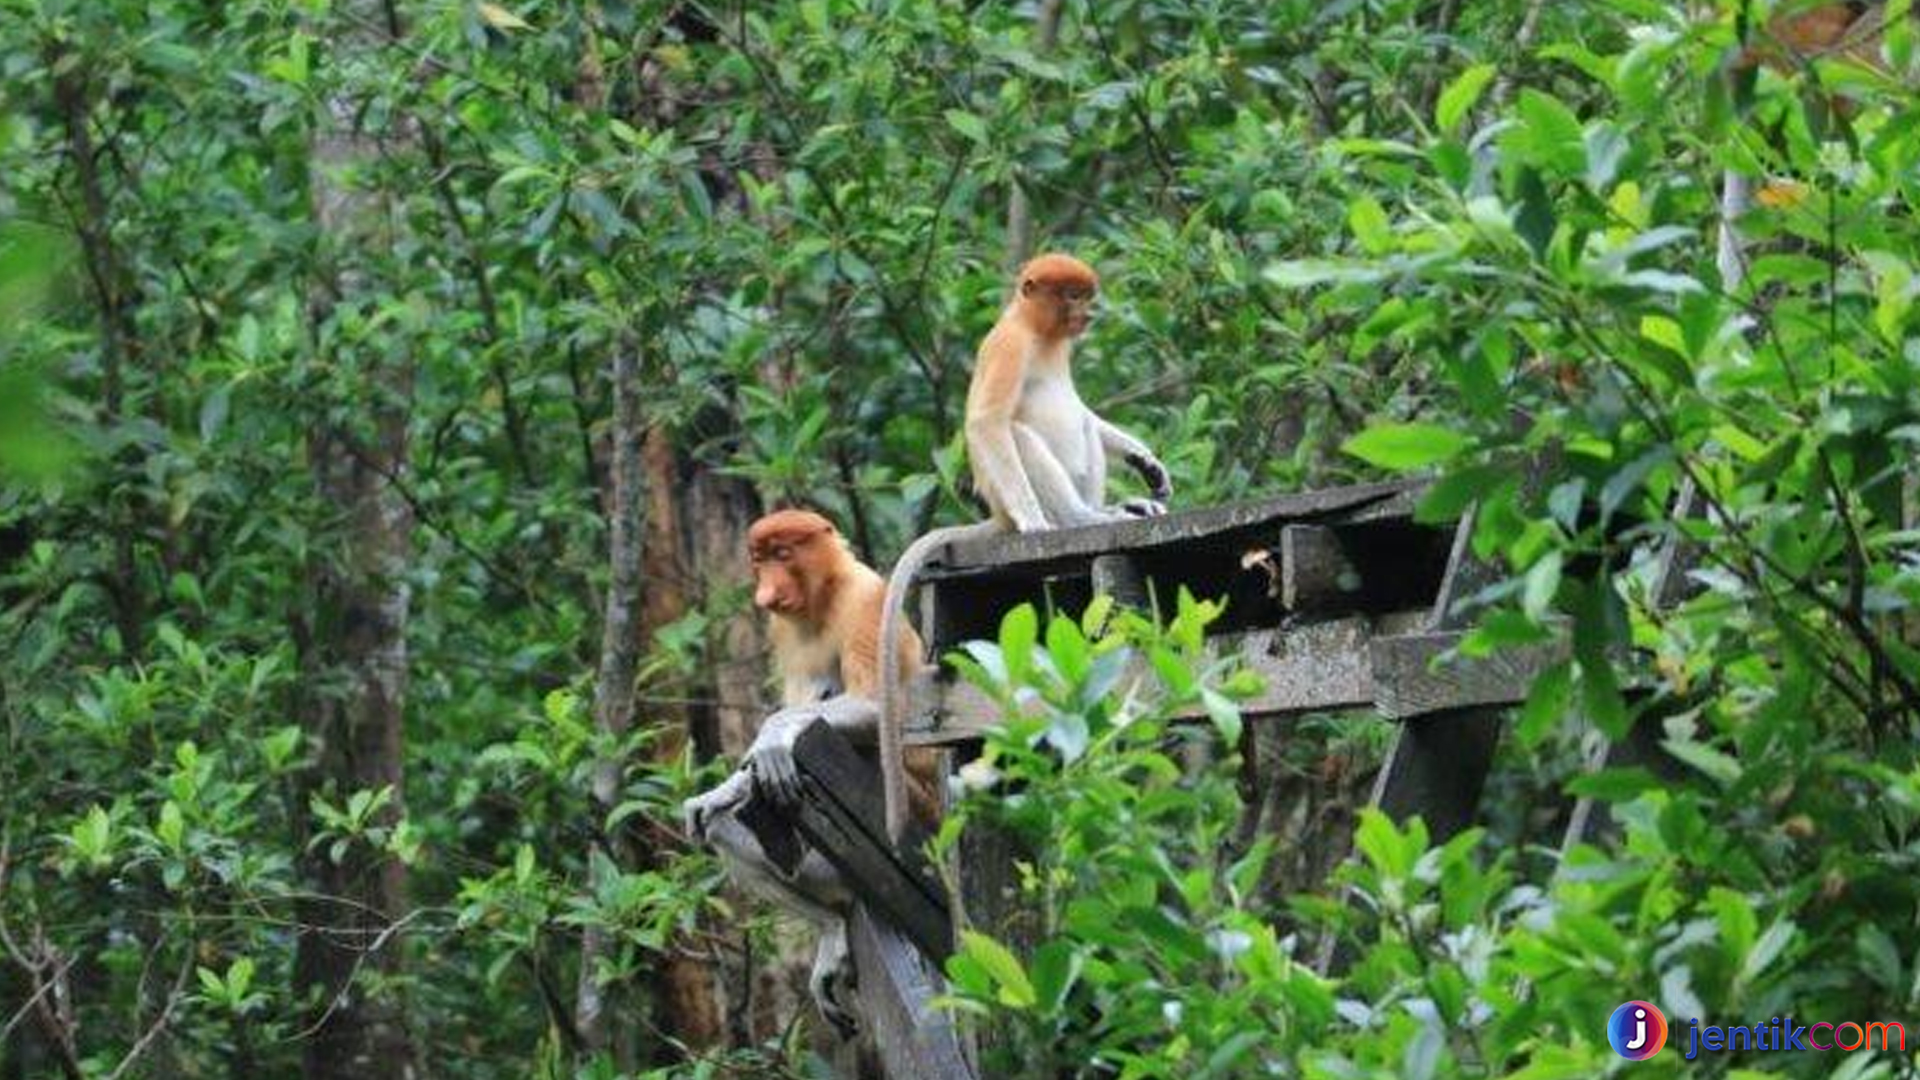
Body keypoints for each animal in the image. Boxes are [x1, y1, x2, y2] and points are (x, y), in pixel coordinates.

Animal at [679, 507, 940, 1030]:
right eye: (759, 559)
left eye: (783, 554)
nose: (765, 592)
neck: (823, 596)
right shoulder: (783, 630)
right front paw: (719, 792)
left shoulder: (866, 599)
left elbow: (877, 706)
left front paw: (771, 741)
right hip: (823, 867)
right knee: (725, 830)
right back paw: (831, 924)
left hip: (912, 807)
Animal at [879, 255, 1175, 837]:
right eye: (1071, 295)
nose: (1088, 313)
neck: (1038, 333)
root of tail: (996, 515)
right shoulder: (1009, 347)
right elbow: (988, 423)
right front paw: (1038, 526)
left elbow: (1087, 414)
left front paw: (1147, 463)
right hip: (1012, 486)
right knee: (1018, 434)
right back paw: (1076, 520)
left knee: (1082, 422)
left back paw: (1121, 510)